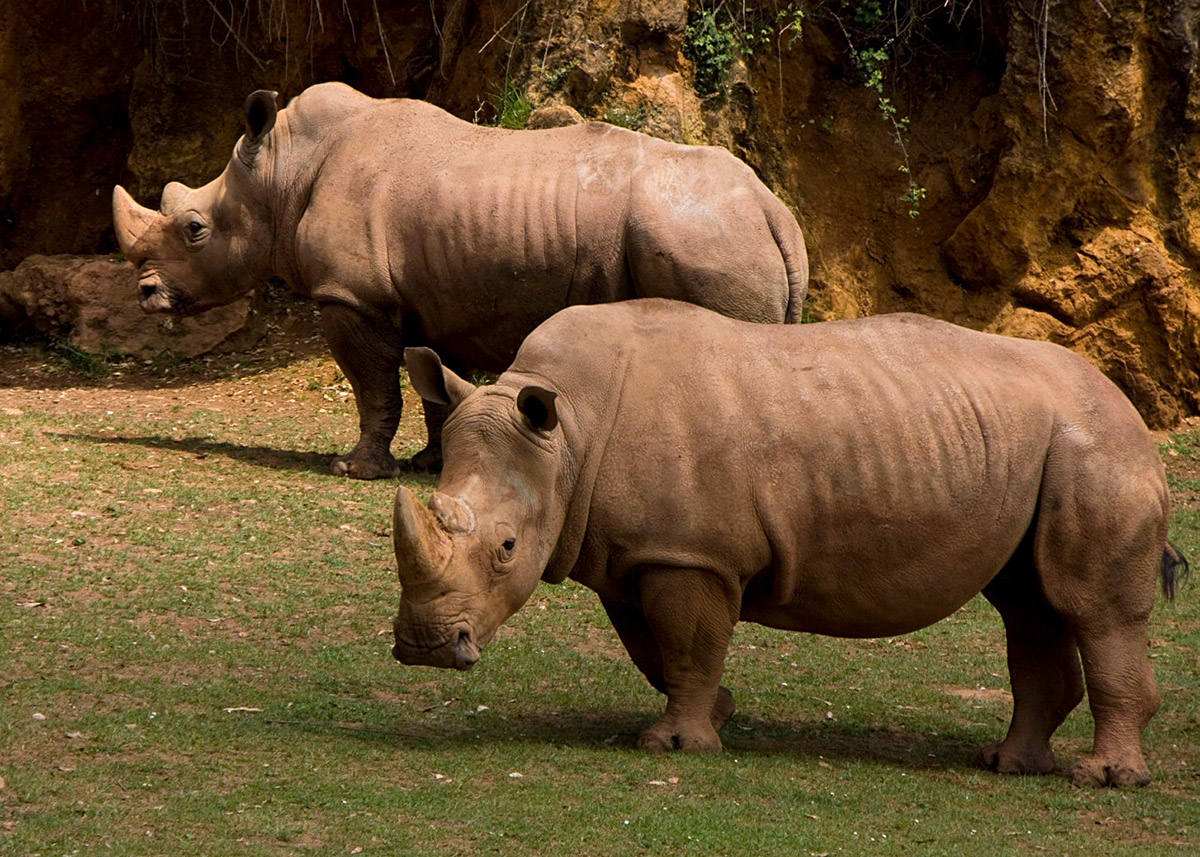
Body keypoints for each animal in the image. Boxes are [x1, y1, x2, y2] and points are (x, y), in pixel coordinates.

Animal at [111, 83, 808, 478]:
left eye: (195, 228)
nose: (145, 295)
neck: (281, 172)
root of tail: (775, 211)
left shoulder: (352, 297)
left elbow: (374, 388)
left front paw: (354, 470)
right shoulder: (440, 294)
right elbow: (434, 388)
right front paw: (431, 464)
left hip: (699, 233)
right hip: (718, 230)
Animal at [390, 298, 1187, 787]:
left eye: (507, 547)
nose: (425, 646)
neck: (569, 433)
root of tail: (1129, 407)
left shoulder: (691, 554)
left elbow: (685, 643)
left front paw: (676, 746)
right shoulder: (633, 549)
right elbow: (654, 649)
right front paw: (716, 714)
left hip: (1095, 448)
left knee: (1090, 607)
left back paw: (1103, 779)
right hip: (1037, 449)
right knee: (1028, 601)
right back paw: (1007, 763)